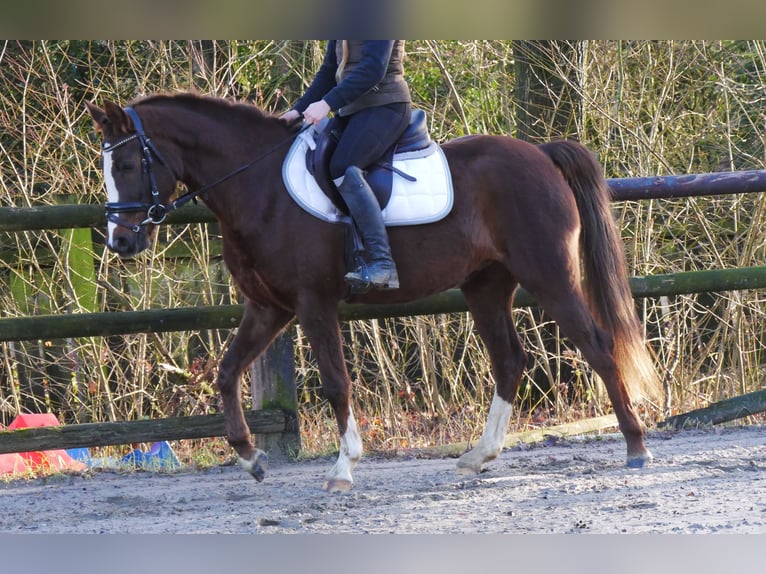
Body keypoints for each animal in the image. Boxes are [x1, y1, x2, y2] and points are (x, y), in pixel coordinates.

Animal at [82, 94, 660, 496]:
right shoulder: (268, 309)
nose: (120, 242)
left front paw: (343, 468)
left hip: (549, 277)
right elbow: (226, 373)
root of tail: (539, 153)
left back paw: (636, 447)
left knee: (597, 346)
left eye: (128, 166)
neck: (259, 186)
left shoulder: (313, 305)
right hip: (486, 286)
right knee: (510, 360)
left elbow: (336, 383)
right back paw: (479, 456)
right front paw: (250, 458)